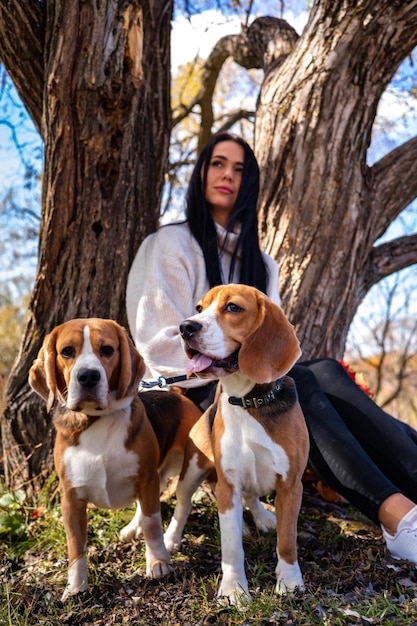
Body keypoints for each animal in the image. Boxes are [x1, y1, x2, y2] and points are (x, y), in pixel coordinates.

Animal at [28, 316, 200, 600]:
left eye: (107, 350)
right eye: (67, 351)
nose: (88, 376)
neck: (96, 419)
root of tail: (175, 393)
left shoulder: (146, 479)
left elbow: (153, 525)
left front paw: (158, 563)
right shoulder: (71, 498)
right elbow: (75, 546)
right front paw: (76, 587)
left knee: (184, 503)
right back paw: (132, 528)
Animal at [162, 286, 308, 604]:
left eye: (233, 307)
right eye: (199, 307)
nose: (185, 327)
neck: (248, 401)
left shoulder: (291, 485)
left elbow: (287, 541)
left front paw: (290, 582)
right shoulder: (227, 486)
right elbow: (231, 547)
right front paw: (233, 590)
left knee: (252, 496)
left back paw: (263, 518)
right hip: (192, 471)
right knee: (182, 506)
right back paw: (170, 539)